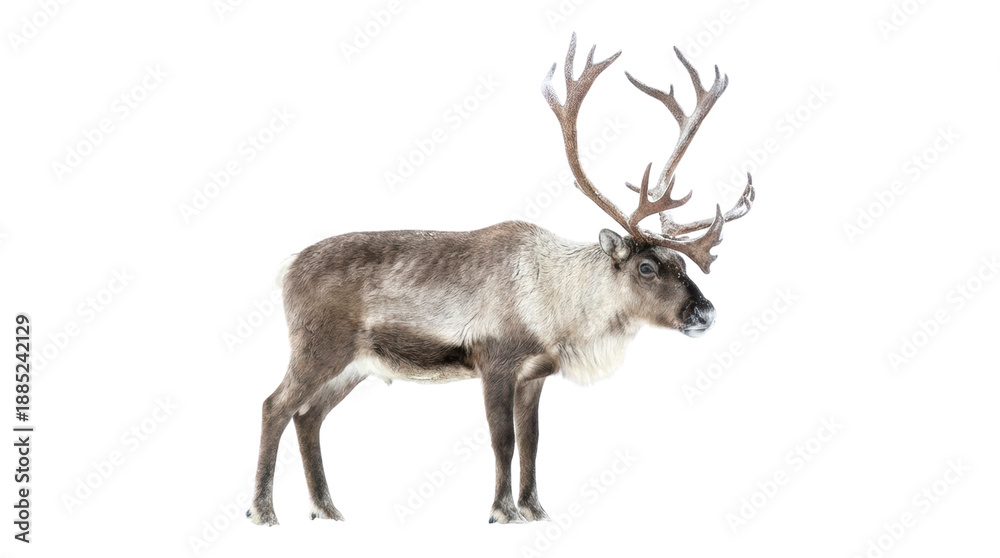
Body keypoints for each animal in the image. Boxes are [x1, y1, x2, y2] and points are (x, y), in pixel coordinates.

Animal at [247, 33, 753, 526]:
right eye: (646, 267)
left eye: (683, 264)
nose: (705, 311)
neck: (557, 305)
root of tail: (287, 267)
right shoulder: (495, 361)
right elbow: (502, 439)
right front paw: (502, 510)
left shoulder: (534, 375)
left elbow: (532, 441)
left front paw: (536, 509)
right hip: (318, 348)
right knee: (275, 405)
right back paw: (264, 511)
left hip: (353, 365)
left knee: (308, 417)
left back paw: (327, 509)